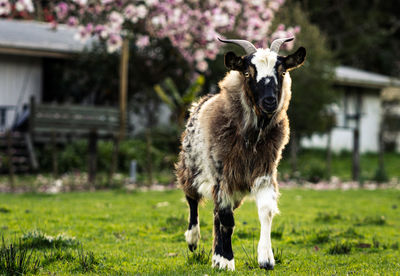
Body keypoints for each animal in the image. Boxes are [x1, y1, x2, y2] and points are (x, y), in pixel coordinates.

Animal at [176, 35, 306, 270]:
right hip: (190, 166)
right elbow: (227, 220)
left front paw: (265, 258)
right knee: (192, 199)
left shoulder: (264, 171)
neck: (251, 139)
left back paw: (215, 257)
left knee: (216, 214)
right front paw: (227, 261)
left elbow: (265, 210)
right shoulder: (222, 175)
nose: (270, 102)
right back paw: (193, 240)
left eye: (282, 72)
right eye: (247, 73)